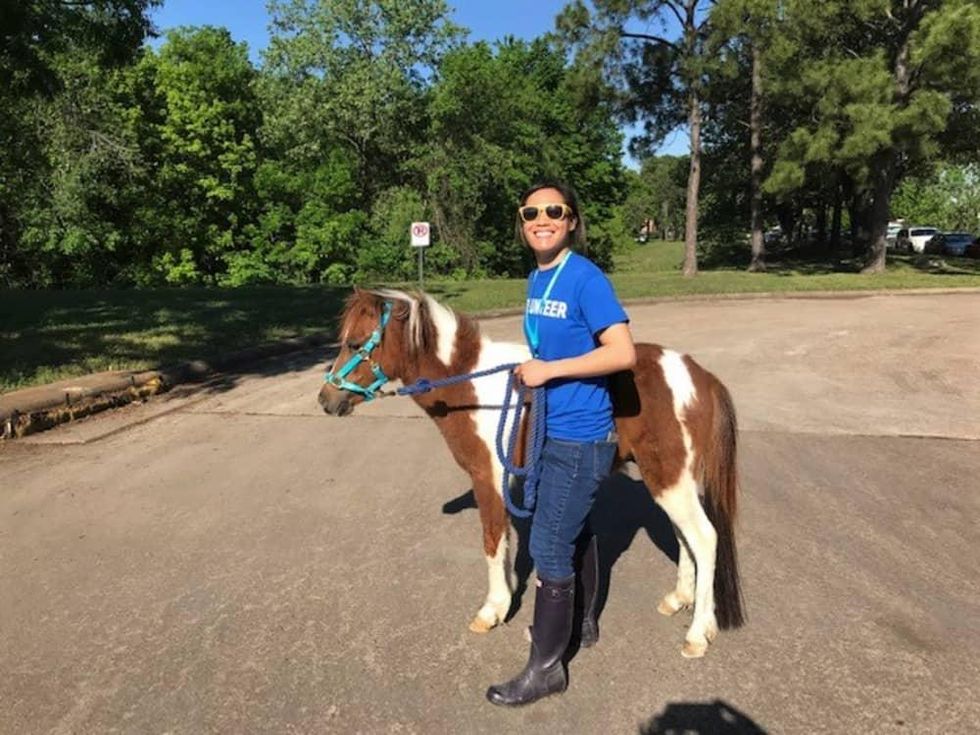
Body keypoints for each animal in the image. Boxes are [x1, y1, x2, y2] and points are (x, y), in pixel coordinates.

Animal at [318, 287, 744, 658]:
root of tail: (701, 376)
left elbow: (492, 541)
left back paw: (698, 633)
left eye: (355, 343)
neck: (471, 389)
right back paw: (679, 600)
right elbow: (506, 542)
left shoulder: (487, 477)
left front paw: (493, 609)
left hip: (670, 480)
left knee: (704, 538)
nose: (326, 399)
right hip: (672, 481)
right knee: (685, 536)